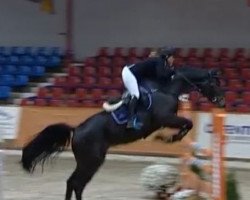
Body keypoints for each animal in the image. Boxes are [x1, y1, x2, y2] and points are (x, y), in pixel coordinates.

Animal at [21, 66, 225, 200]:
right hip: (91, 160)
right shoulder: (166, 118)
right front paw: (168, 138)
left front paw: (168, 137)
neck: (168, 91)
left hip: (89, 161)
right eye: (214, 84)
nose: (222, 102)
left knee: (74, 183)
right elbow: (188, 123)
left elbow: (187, 125)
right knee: (76, 183)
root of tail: (76, 129)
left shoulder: (168, 120)